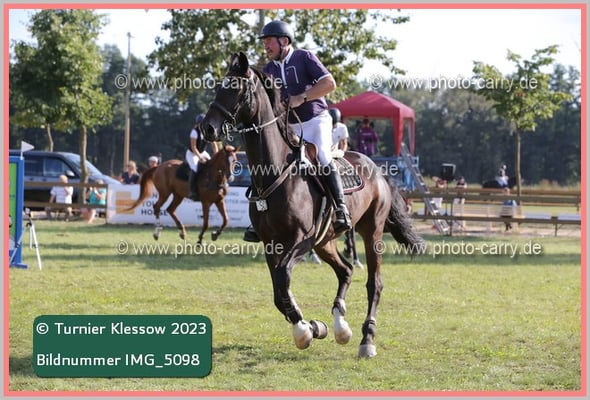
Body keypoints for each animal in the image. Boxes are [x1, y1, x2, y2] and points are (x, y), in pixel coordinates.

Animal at [202, 52, 424, 358]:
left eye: (237, 89)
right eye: (218, 87)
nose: (207, 128)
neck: (273, 174)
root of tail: (378, 170)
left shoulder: (300, 240)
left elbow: (283, 279)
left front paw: (304, 330)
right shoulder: (272, 244)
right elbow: (279, 291)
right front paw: (312, 327)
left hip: (371, 232)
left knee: (373, 283)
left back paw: (367, 339)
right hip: (325, 240)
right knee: (345, 270)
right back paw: (341, 326)